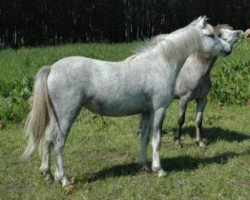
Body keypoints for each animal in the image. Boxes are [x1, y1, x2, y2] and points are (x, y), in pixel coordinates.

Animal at [22, 16, 231, 187]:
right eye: (211, 35)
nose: (228, 49)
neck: (160, 64)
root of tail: (52, 68)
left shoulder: (146, 112)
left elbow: (144, 137)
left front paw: (144, 165)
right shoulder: (159, 109)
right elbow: (156, 139)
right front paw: (159, 170)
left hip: (55, 117)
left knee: (47, 139)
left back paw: (48, 175)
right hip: (67, 115)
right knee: (58, 143)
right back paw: (63, 180)